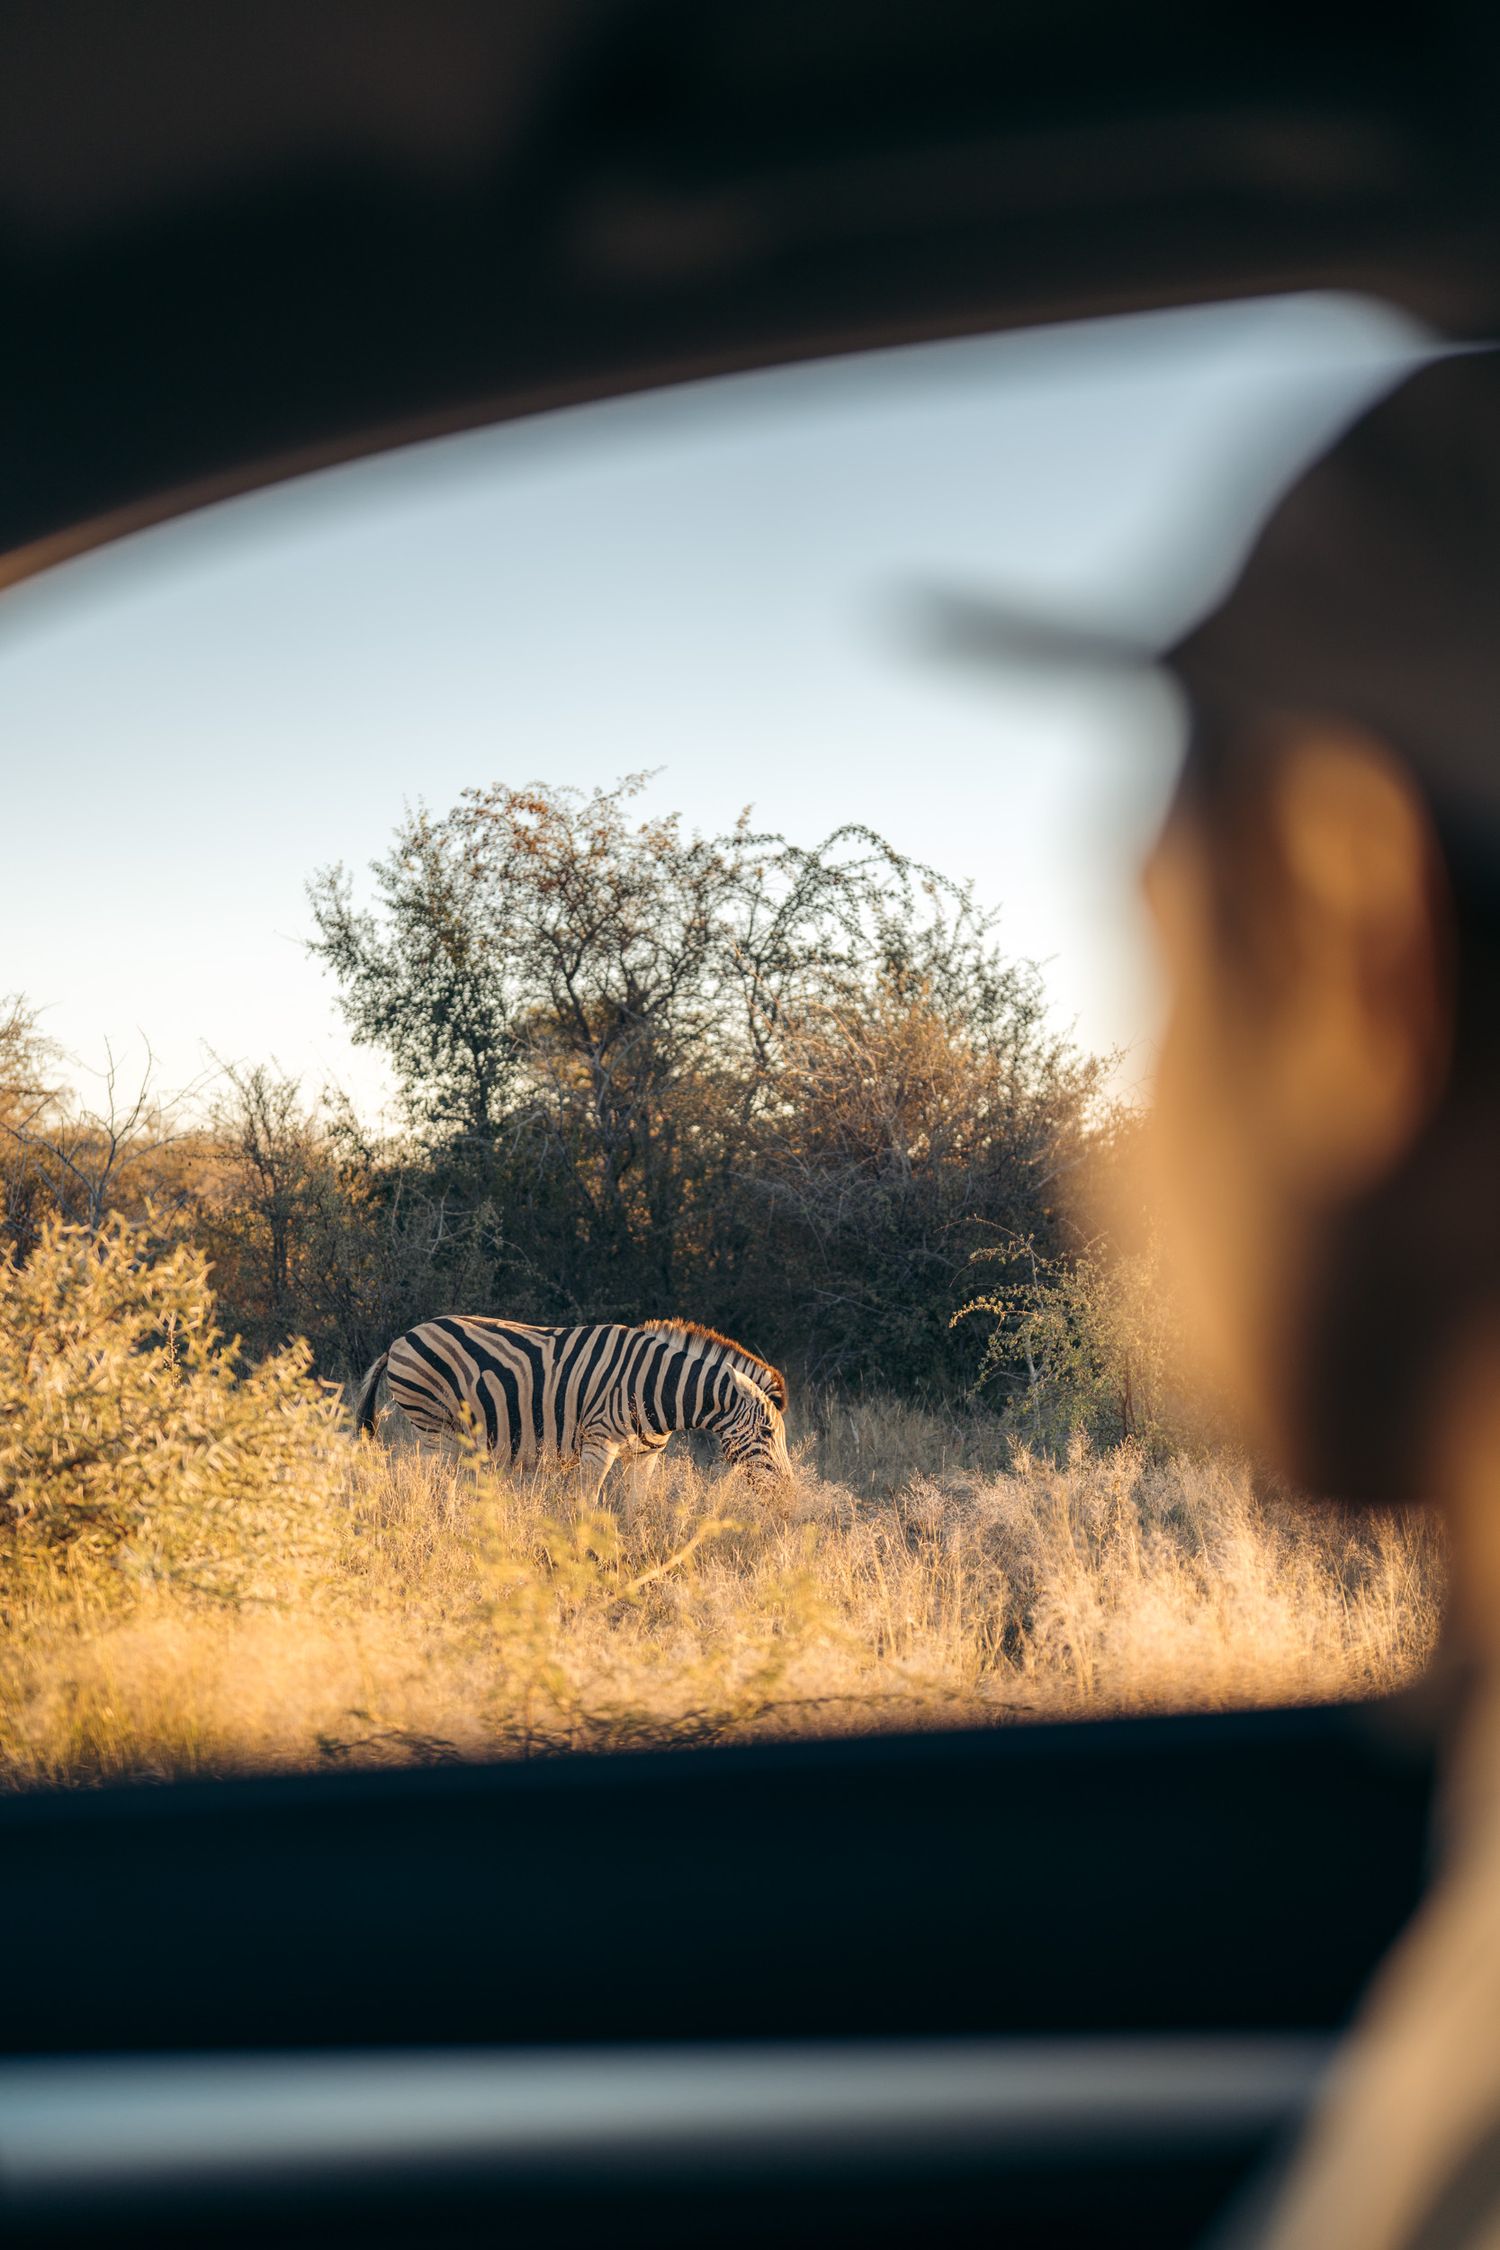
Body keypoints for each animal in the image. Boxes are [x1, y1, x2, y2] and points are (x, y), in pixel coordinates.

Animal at [353, 1316, 793, 1496]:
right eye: (767, 1432)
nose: (789, 1496)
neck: (658, 1389)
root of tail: (400, 1338)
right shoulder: (598, 1445)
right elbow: (587, 1504)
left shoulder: (645, 1457)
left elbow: (635, 1508)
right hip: (434, 1427)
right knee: (424, 1481)